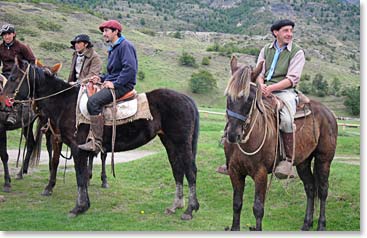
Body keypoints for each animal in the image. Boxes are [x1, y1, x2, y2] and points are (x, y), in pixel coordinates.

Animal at [2, 60, 200, 220]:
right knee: (177, 170)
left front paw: (79, 207)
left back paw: (189, 210)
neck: (66, 103)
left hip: (182, 143)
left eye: (13, 78)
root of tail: (188, 100)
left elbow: (80, 177)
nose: (3, 102)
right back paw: (175, 205)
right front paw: (82, 204)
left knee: (190, 172)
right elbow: (77, 174)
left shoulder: (77, 148)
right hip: (170, 142)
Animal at [223, 55, 338, 231]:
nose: (233, 135)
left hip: (323, 160)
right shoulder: (235, 172)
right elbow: (237, 204)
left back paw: (321, 225)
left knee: (323, 190)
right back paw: (306, 223)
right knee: (310, 188)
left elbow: (258, 208)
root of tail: (329, 113)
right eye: (228, 96)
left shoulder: (261, 174)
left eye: (249, 98)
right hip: (303, 162)